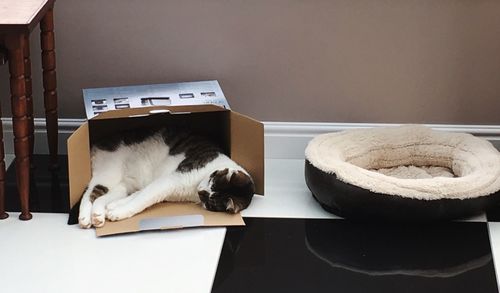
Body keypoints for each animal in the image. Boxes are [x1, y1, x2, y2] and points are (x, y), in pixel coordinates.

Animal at [80, 127, 258, 228]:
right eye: (212, 180)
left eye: (210, 201)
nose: (201, 190)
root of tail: (96, 143)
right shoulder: (170, 180)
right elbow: (142, 199)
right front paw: (118, 213)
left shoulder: (163, 187)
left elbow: (140, 195)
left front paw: (114, 208)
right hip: (109, 171)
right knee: (89, 193)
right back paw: (84, 219)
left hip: (124, 184)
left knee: (101, 197)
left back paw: (98, 215)